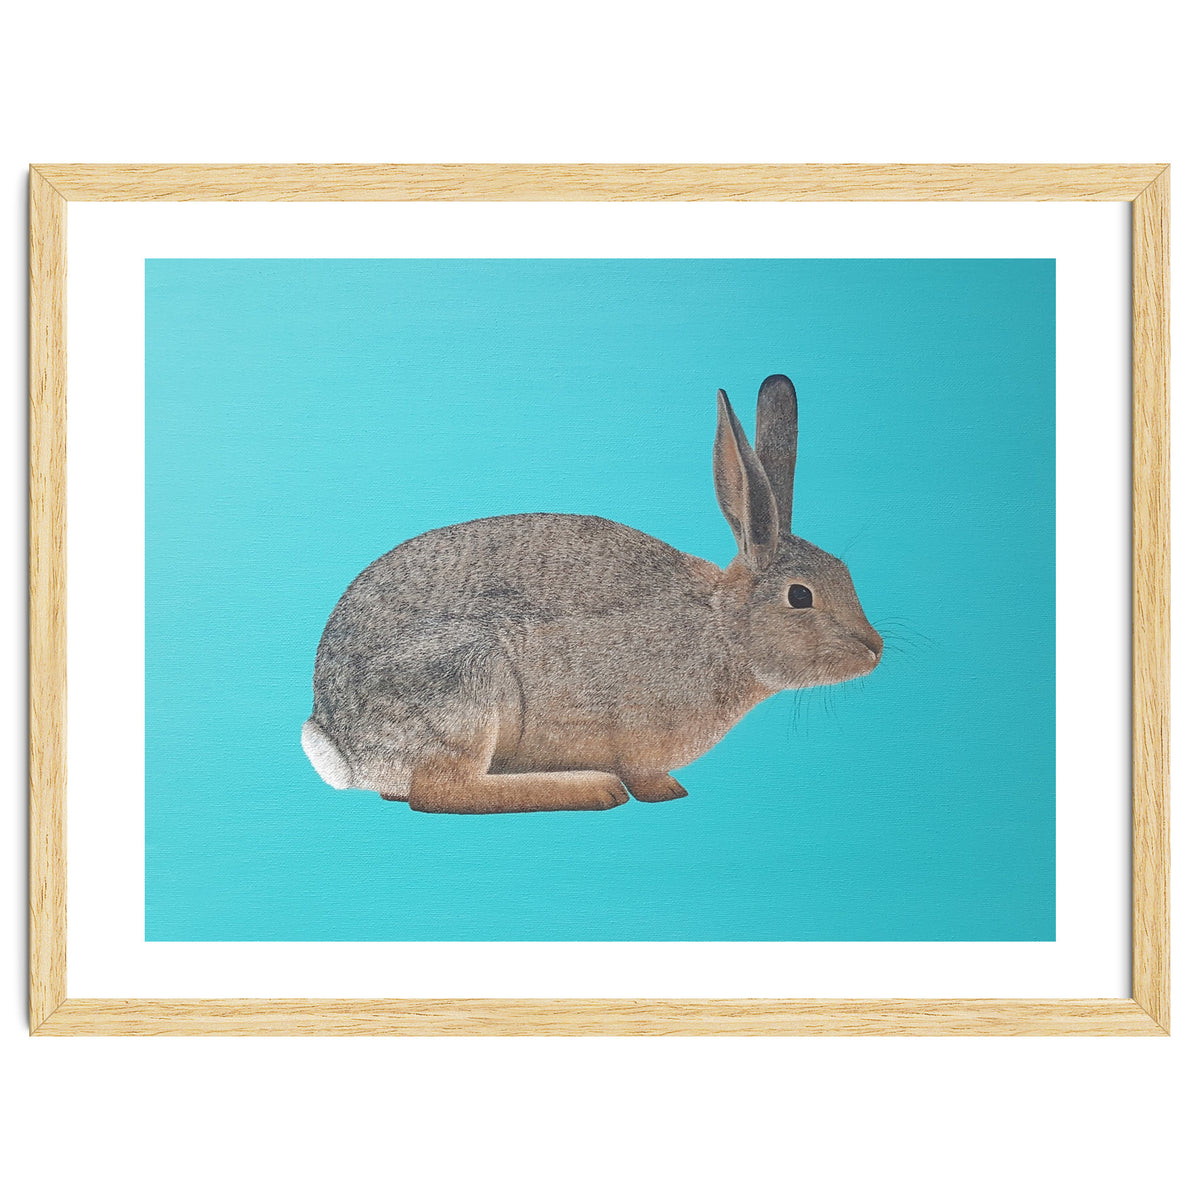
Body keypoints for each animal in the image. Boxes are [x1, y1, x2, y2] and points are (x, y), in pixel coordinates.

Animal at [301, 374, 882, 813]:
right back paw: (592, 788)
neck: (724, 628)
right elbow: (644, 775)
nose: (874, 649)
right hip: (465, 683)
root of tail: (341, 743)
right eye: (801, 597)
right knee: (440, 791)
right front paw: (664, 791)